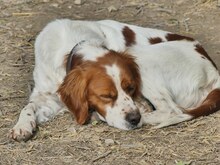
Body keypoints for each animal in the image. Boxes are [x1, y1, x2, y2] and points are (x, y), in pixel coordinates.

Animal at [9, 19, 220, 141]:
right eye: (106, 96)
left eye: (131, 87)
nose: (134, 119)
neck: (71, 46)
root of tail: (212, 69)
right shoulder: (46, 95)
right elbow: (28, 107)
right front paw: (22, 126)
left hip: (141, 57)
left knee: (170, 109)